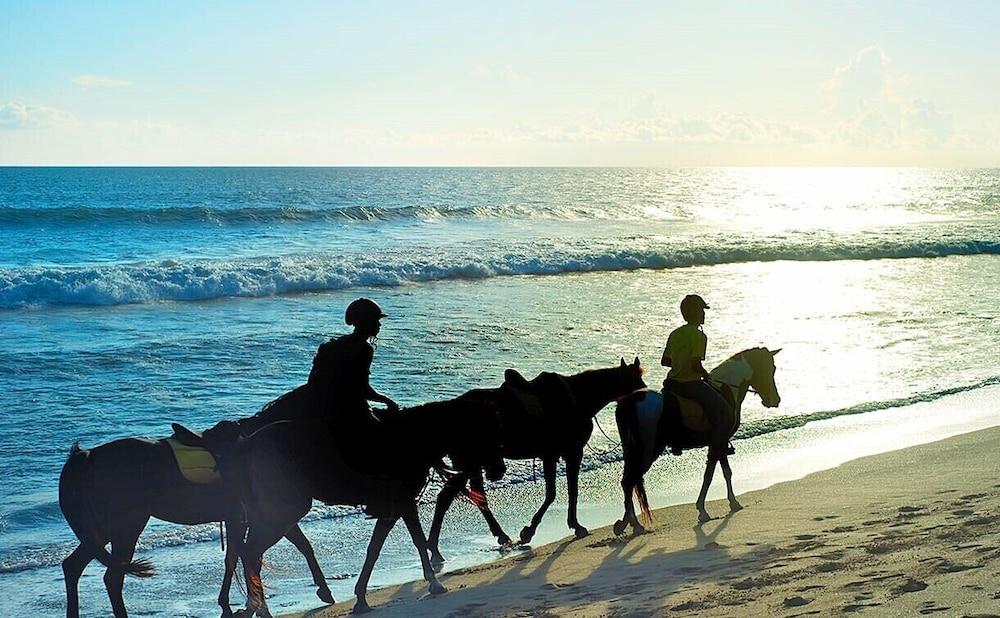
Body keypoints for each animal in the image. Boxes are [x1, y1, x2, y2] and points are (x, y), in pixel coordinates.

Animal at [230, 392, 504, 612]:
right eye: (486, 432)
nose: (499, 470)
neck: (412, 439)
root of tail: (248, 444)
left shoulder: (392, 509)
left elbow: (374, 549)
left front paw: (361, 596)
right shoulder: (404, 503)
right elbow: (416, 540)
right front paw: (434, 583)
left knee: (251, 554)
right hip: (284, 511)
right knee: (251, 553)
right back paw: (261, 607)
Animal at [424, 356, 644, 568]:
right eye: (638, 382)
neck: (578, 397)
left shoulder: (562, 455)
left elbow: (567, 491)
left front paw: (568, 525)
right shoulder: (565, 454)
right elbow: (558, 493)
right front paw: (534, 531)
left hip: (472, 464)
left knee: (465, 496)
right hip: (470, 464)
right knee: (449, 498)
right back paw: (438, 547)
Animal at [608, 346, 780, 536]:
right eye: (769, 369)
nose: (775, 400)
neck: (725, 389)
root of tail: (630, 402)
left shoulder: (716, 444)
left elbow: (715, 473)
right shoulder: (719, 441)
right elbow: (719, 473)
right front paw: (720, 506)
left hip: (633, 451)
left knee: (628, 481)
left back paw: (627, 523)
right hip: (648, 450)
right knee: (630, 480)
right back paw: (634, 524)